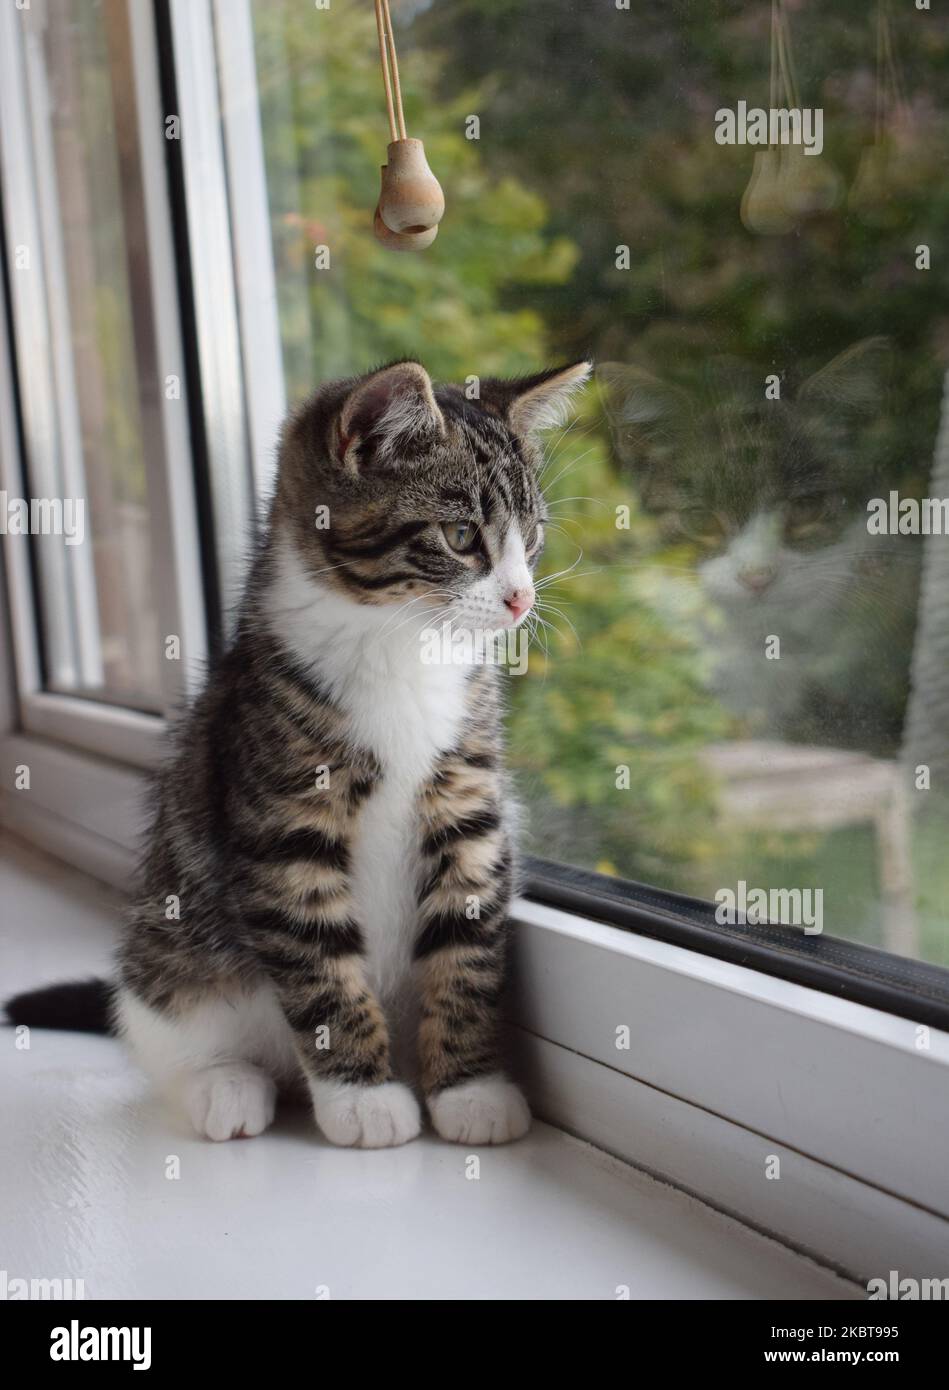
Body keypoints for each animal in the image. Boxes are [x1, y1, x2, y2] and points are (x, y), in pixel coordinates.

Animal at [11, 361, 594, 1150]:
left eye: (530, 538)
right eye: (460, 535)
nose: (520, 600)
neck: (398, 644)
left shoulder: (469, 796)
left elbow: (467, 952)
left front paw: (469, 1087)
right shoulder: (279, 820)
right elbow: (320, 966)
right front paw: (362, 1098)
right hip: (170, 952)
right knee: (168, 1022)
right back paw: (223, 1085)